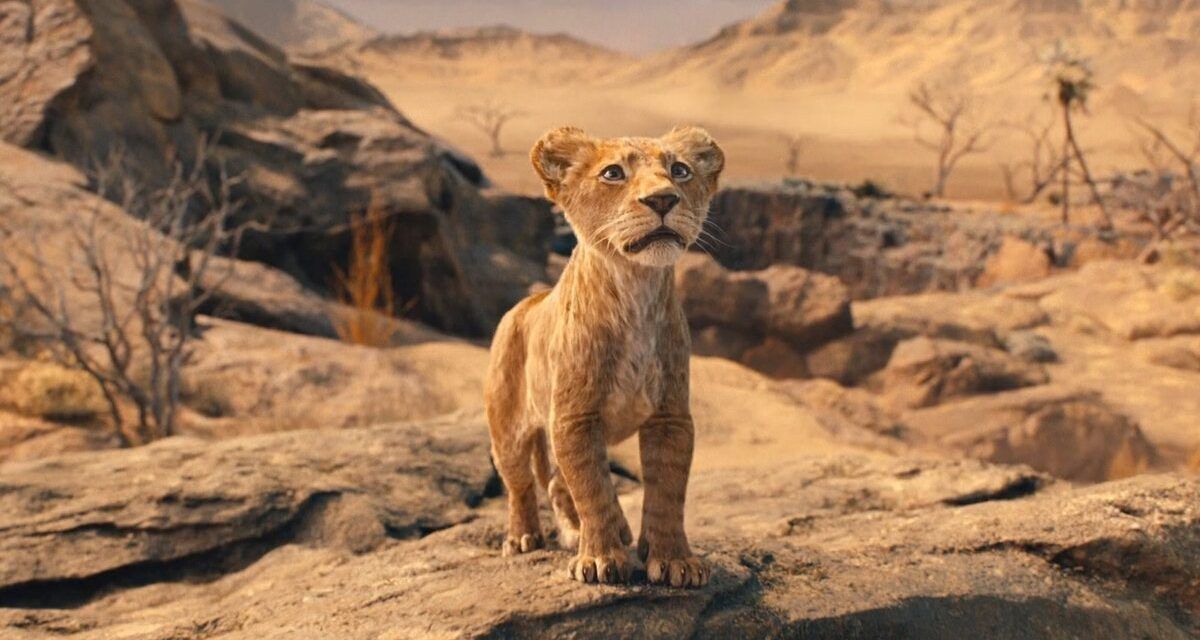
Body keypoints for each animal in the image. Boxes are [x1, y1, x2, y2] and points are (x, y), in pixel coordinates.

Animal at [484, 125, 724, 588]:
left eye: (679, 170)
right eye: (613, 173)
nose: (663, 199)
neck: (635, 289)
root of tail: (526, 302)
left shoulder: (670, 416)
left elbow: (668, 490)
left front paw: (674, 560)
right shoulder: (574, 418)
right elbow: (592, 487)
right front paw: (599, 559)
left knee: (558, 484)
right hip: (508, 430)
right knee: (522, 485)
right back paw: (523, 537)